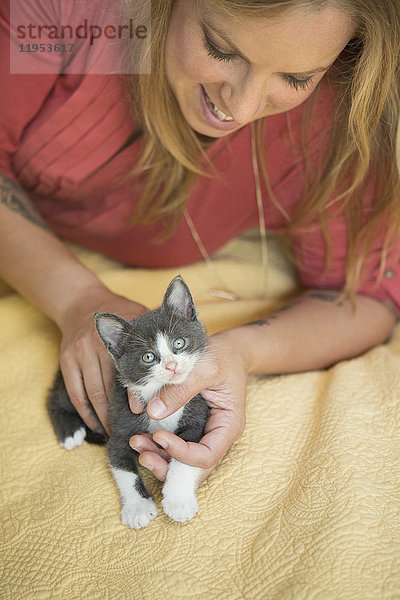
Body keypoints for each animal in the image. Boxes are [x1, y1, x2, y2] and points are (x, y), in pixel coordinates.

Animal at [46, 276, 209, 528]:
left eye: (179, 343)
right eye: (148, 357)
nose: (172, 366)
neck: (158, 393)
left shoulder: (197, 410)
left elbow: (185, 456)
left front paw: (178, 501)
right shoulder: (121, 424)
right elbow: (124, 468)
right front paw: (138, 508)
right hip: (74, 384)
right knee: (55, 399)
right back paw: (70, 432)